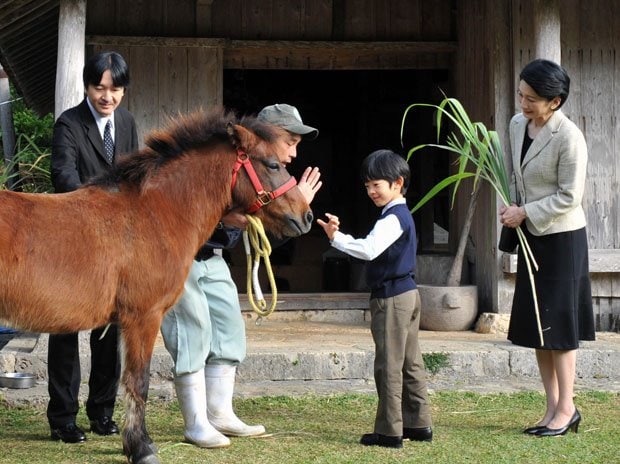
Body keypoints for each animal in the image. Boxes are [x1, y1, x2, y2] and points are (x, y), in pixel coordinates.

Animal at [0, 106, 312, 464]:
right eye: (273, 164)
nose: (305, 216)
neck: (154, 212)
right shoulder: (143, 317)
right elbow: (138, 382)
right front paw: (142, 447)